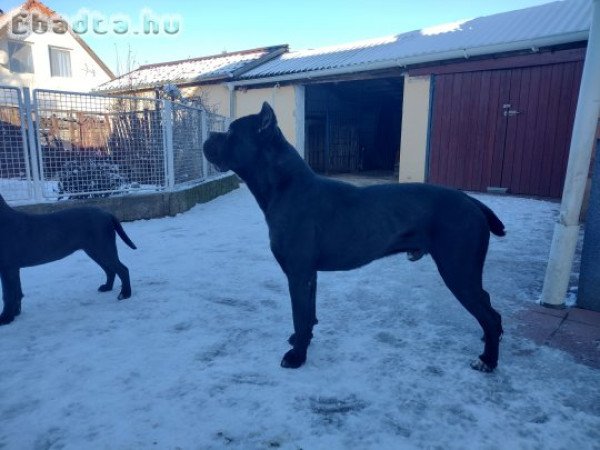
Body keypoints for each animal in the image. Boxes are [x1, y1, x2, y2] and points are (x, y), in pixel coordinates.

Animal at [0, 195, 136, 326]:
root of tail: (107, 214)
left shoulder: (8, 267)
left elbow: (8, 294)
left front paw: (6, 318)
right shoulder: (13, 268)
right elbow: (16, 291)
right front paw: (15, 313)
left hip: (102, 249)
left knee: (123, 269)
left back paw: (125, 294)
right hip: (95, 251)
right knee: (110, 270)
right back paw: (107, 287)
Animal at [204, 102, 504, 372]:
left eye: (230, 132)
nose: (208, 137)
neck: (285, 185)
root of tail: (471, 201)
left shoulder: (298, 274)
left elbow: (300, 315)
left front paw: (297, 356)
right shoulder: (309, 274)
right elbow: (308, 314)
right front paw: (303, 341)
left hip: (458, 270)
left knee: (490, 315)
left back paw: (487, 360)